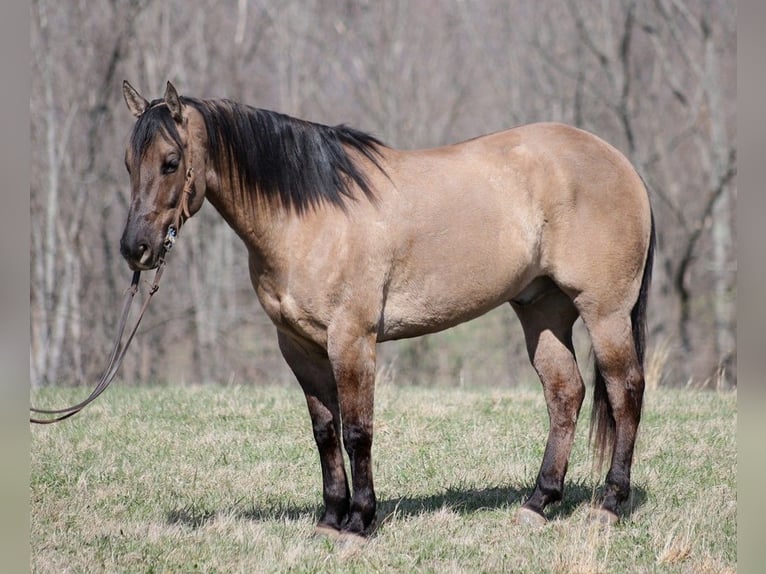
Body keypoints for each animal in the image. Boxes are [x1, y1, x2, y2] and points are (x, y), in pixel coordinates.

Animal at [118, 80, 656, 540]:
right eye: (127, 162)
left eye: (170, 161)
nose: (135, 249)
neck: (311, 216)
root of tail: (621, 162)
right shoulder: (299, 347)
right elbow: (324, 432)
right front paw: (330, 519)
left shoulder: (352, 340)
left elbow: (357, 430)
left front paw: (359, 522)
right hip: (542, 311)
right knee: (565, 393)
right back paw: (538, 503)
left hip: (605, 313)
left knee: (625, 390)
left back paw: (610, 504)